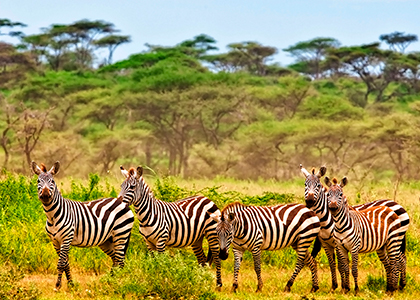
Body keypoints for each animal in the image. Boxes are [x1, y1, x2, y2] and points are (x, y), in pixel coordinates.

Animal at [32, 162, 134, 290]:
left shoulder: (66, 239)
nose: (45, 195)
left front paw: (58, 286)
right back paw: (110, 280)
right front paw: (71, 284)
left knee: (120, 260)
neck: (52, 216)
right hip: (107, 241)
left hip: (121, 234)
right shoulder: (55, 241)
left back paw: (118, 283)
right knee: (116, 259)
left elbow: (61, 264)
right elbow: (66, 263)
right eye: (38, 181)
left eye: (52, 181)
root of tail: (122, 203)